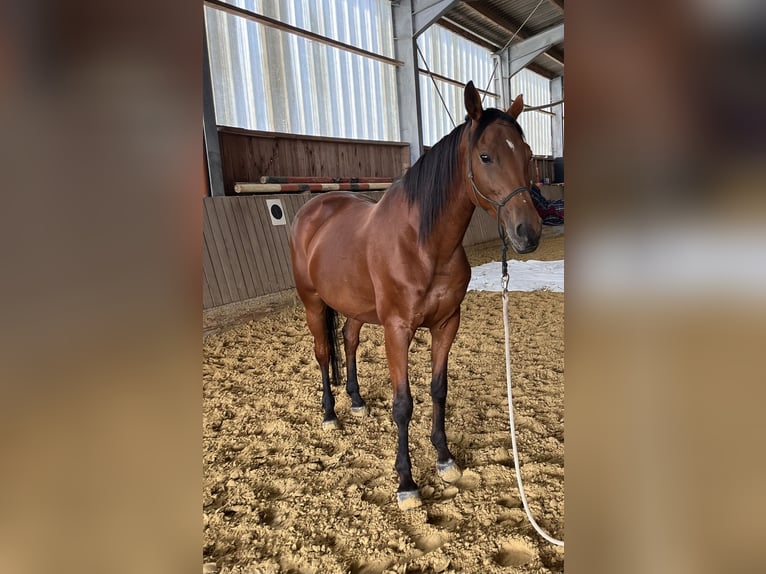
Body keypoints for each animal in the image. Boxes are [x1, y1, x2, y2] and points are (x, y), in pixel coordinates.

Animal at [290, 82, 544, 512]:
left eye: (527, 155)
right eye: (486, 156)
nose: (528, 232)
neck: (423, 244)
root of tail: (312, 209)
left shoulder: (446, 324)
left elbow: (438, 391)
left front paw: (445, 459)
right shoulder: (397, 331)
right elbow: (403, 404)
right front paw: (406, 482)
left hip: (355, 307)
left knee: (349, 340)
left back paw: (356, 401)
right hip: (312, 304)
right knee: (324, 352)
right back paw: (330, 414)